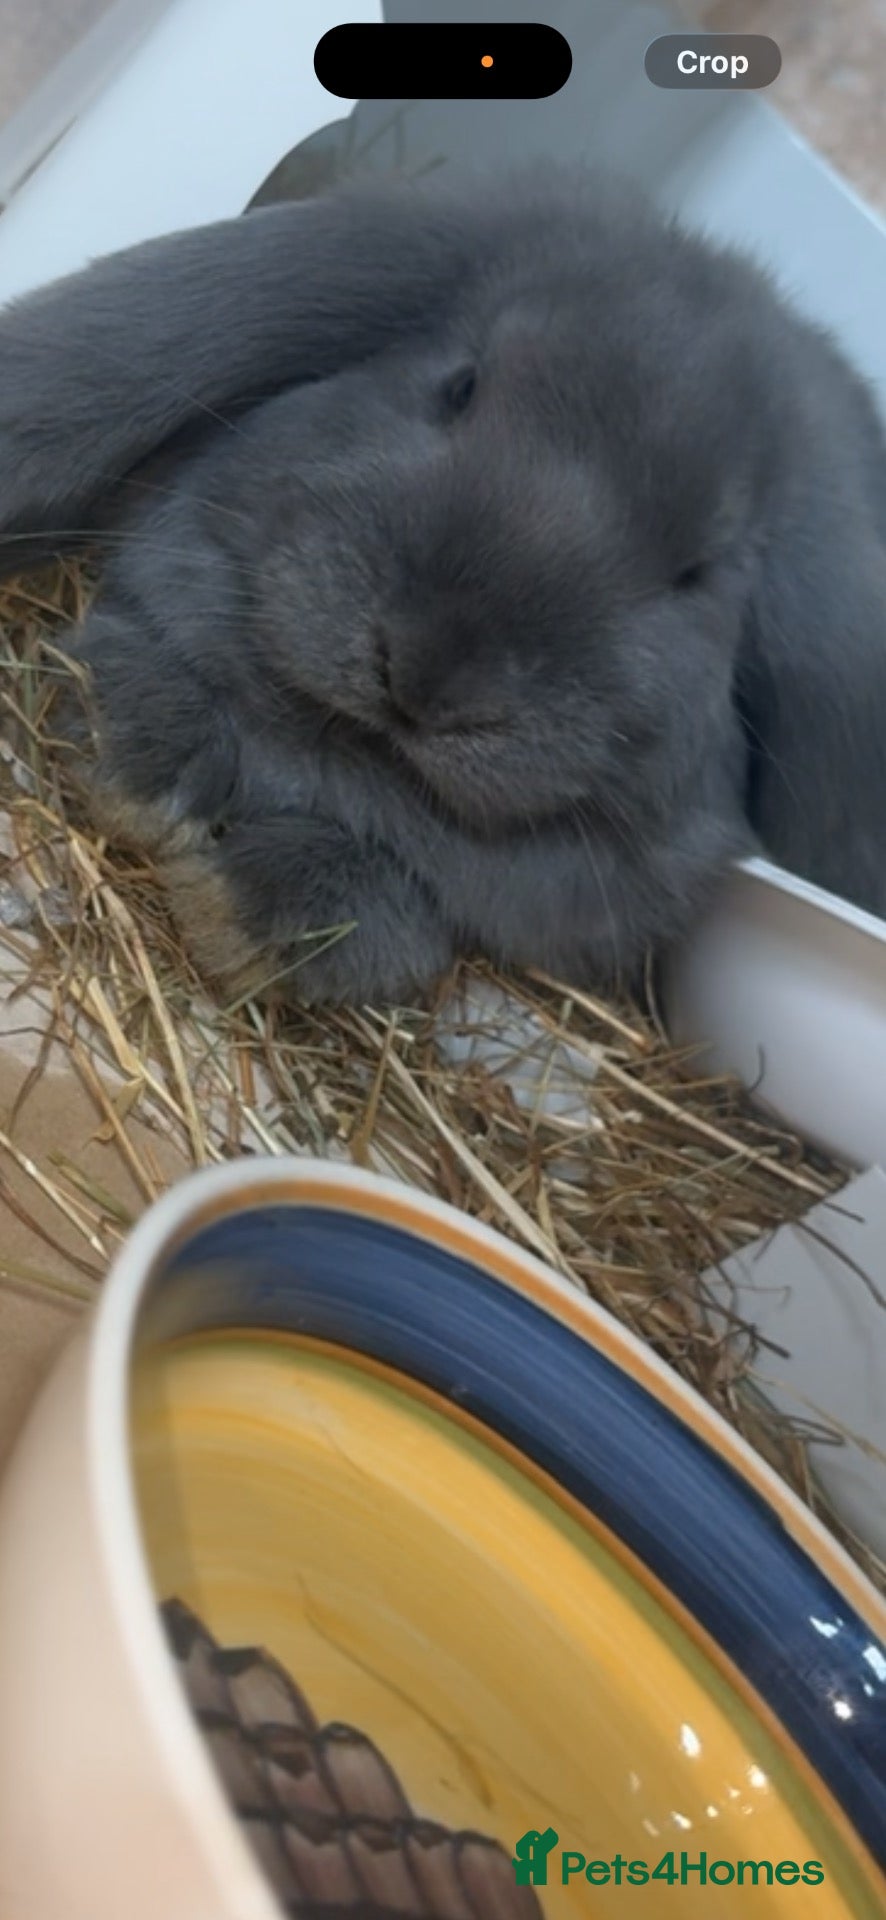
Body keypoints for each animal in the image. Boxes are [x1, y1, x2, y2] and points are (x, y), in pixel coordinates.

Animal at [1, 161, 885, 1006]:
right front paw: (136, 766)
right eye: (460, 387)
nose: (426, 675)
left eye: (698, 573)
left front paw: (233, 910)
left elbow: (400, 911)